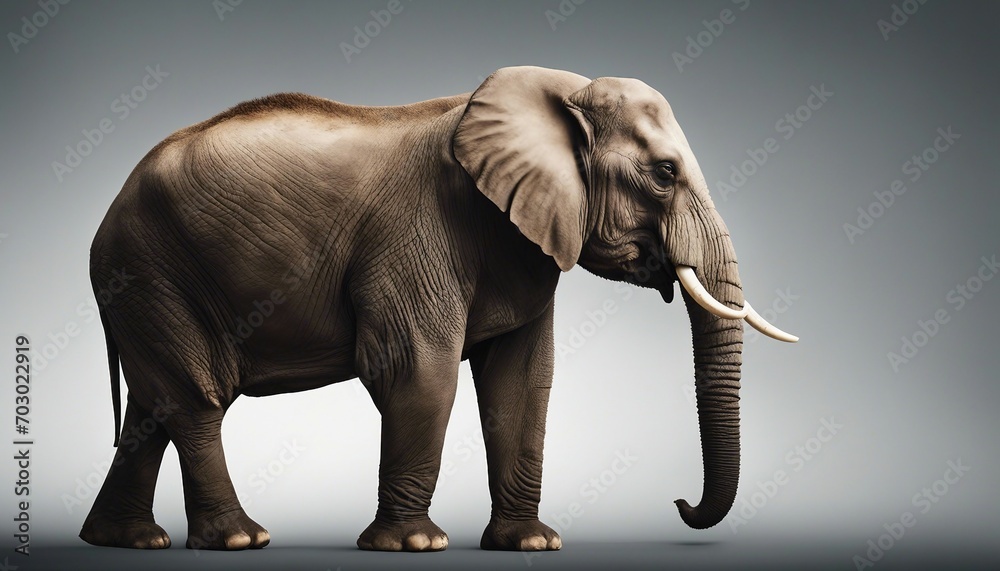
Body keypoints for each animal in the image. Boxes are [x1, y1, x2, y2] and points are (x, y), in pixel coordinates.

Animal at [81, 65, 796, 552]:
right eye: (666, 173)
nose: (678, 502)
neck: (556, 93)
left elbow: (522, 381)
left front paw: (531, 544)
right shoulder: (418, 231)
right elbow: (418, 369)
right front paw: (416, 546)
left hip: (143, 286)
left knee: (152, 410)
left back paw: (127, 541)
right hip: (150, 271)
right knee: (195, 400)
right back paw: (240, 540)